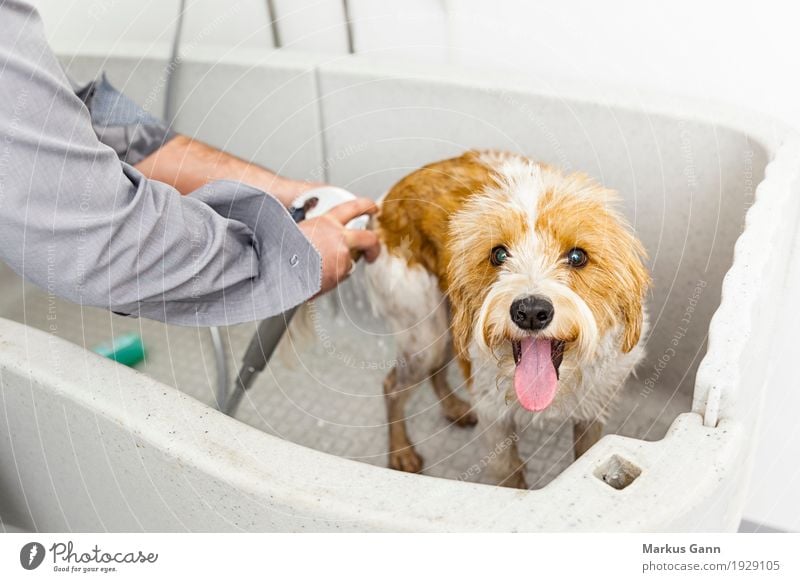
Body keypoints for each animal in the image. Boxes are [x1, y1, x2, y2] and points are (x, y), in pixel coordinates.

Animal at [364, 152, 648, 492]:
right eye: (499, 255)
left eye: (578, 257)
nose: (531, 311)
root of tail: (386, 202)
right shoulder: (495, 415)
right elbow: (508, 470)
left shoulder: (593, 407)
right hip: (426, 332)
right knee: (393, 385)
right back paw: (401, 451)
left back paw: (454, 409)